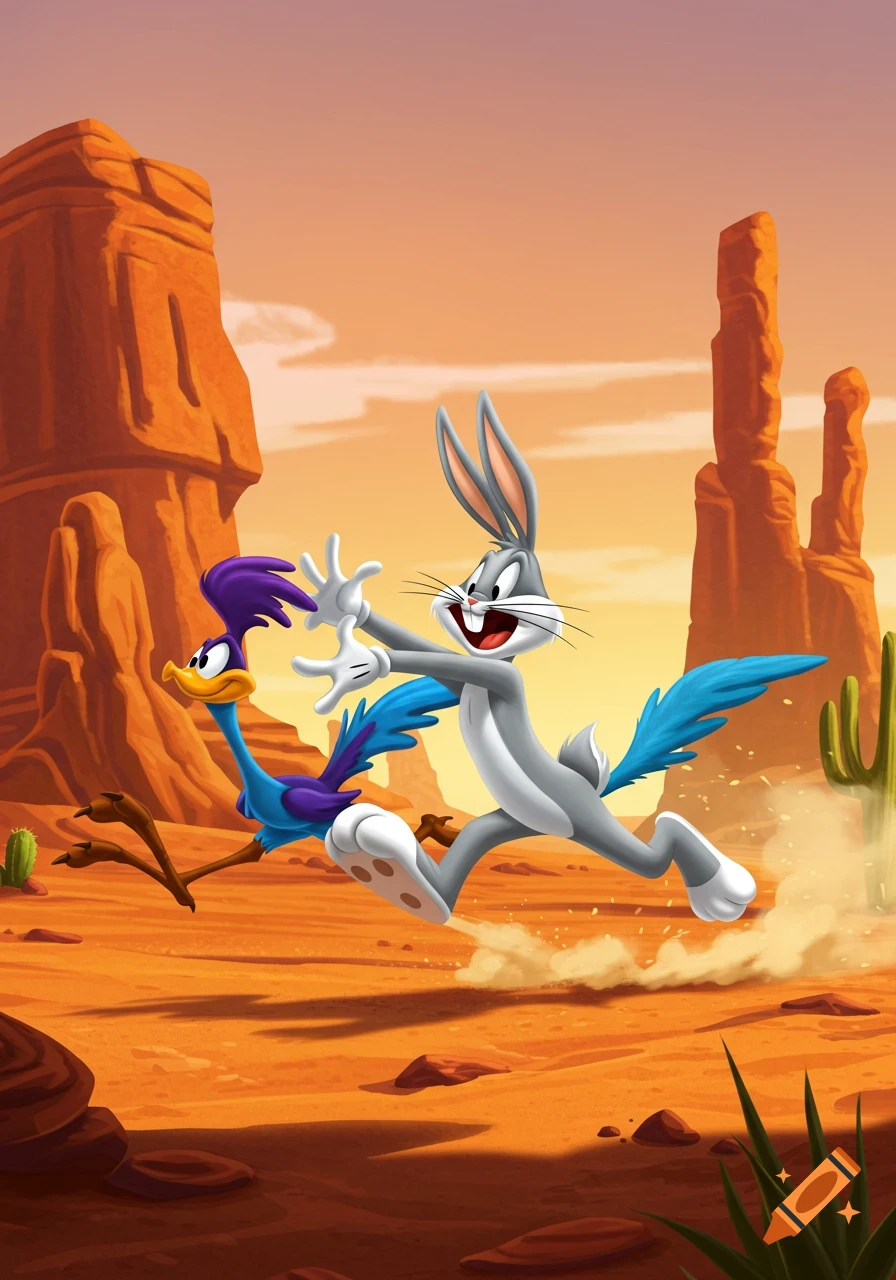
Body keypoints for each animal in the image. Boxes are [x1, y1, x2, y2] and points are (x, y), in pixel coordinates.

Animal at [292, 391, 760, 926]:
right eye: (474, 580)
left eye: (500, 588)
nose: (473, 600)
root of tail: (586, 790)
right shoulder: (471, 682)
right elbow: (440, 658)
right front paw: (343, 602)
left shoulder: (500, 679)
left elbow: (458, 662)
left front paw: (364, 662)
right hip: (509, 821)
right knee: (464, 861)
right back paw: (402, 883)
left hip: (583, 816)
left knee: (658, 847)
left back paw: (722, 886)